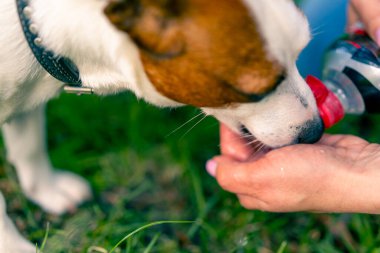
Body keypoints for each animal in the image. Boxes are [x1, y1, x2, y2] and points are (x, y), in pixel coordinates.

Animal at [0, 0, 324, 251]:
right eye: (254, 92)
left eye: (300, 52)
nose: (316, 130)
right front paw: (12, 245)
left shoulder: (26, 99)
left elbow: (30, 146)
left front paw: (46, 190)